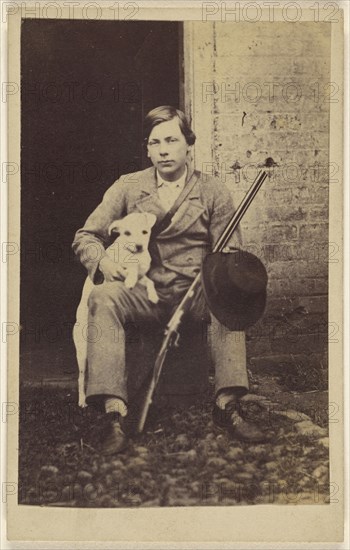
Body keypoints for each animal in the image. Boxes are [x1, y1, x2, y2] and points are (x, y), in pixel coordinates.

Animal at [74, 213, 159, 408]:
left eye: (145, 232)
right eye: (126, 233)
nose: (139, 246)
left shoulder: (143, 276)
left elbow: (148, 281)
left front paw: (153, 295)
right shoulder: (118, 269)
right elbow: (130, 269)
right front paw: (130, 280)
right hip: (82, 353)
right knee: (81, 378)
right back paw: (82, 401)